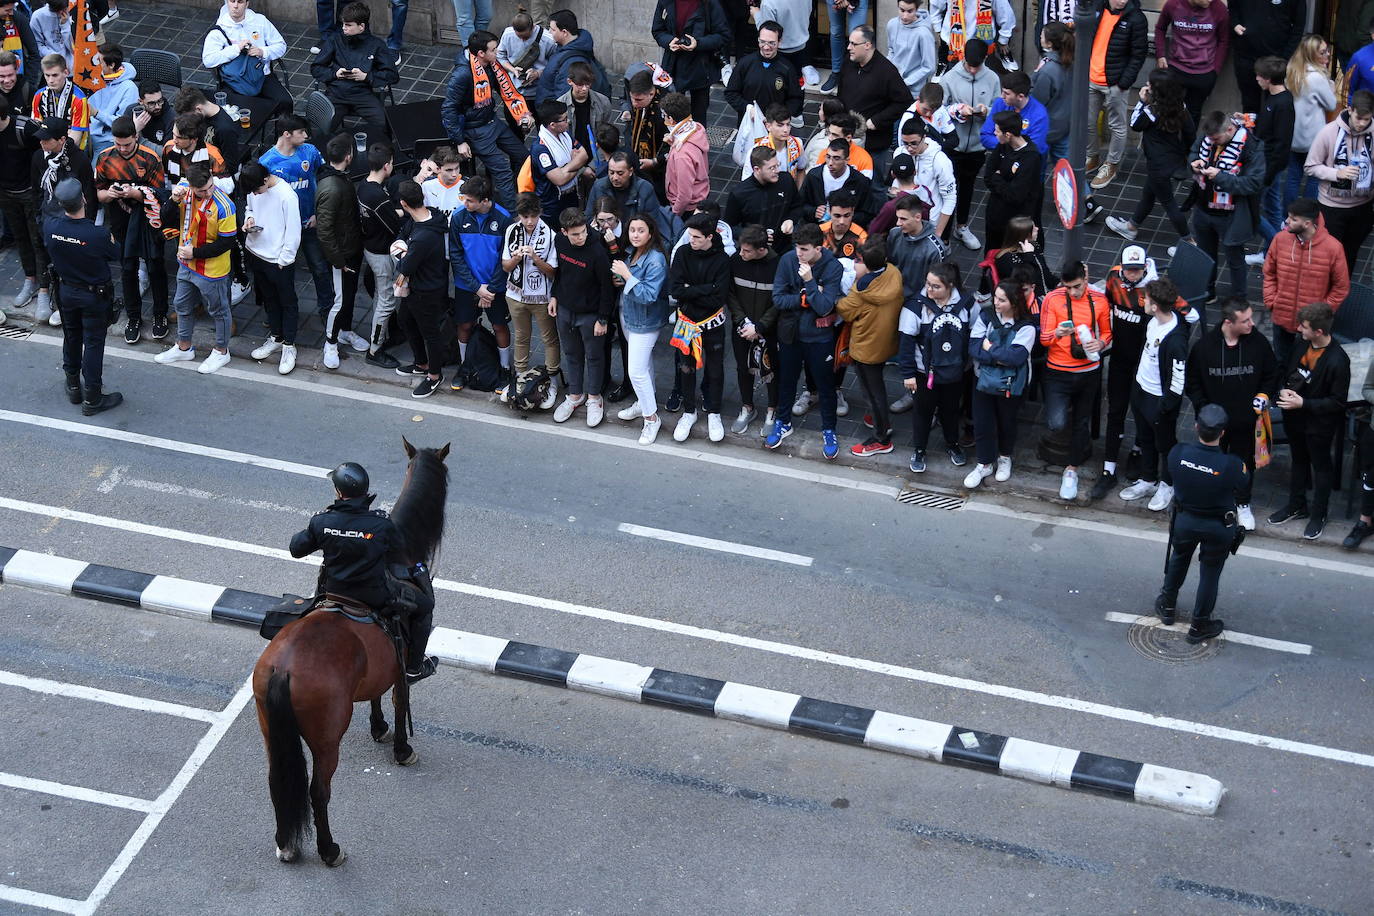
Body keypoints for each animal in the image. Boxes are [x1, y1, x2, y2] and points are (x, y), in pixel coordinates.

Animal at [252, 436, 450, 867]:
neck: (400, 552)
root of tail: (284, 668)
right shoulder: (402, 663)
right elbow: (399, 700)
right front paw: (401, 748)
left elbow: (377, 696)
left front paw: (378, 728)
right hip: (327, 740)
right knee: (318, 792)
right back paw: (329, 849)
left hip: (272, 731)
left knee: (277, 781)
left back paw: (286, 842)